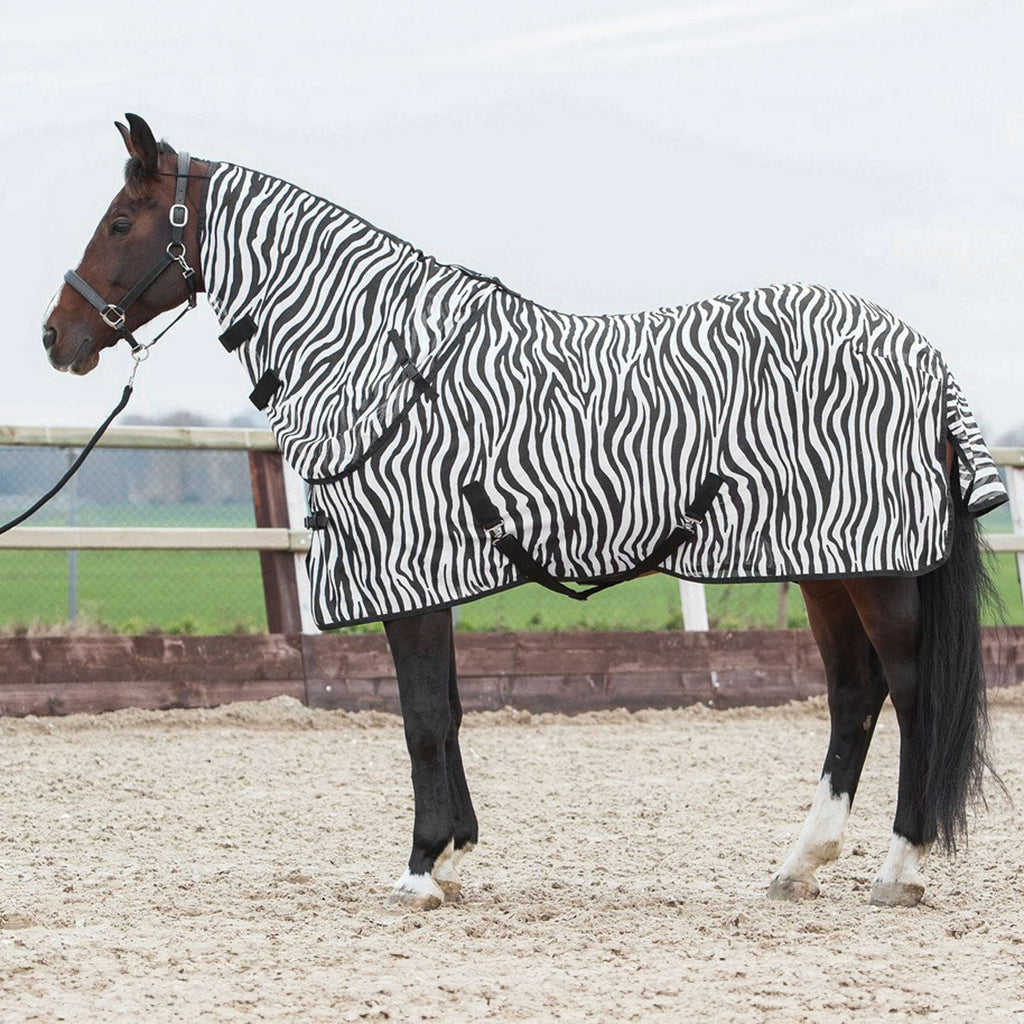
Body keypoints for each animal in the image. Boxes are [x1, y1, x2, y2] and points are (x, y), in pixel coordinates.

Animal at [42, 113, 1004, 911]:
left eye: (121, 222)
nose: (57, 337)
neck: (379, 357)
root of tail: (924, 355)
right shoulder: (426, 579)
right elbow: (450, 711)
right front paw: (454, 853)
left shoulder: (408, 575)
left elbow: (424, 719)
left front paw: (420, 869)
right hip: (826, 566)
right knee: (854, 694)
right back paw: (800, 864)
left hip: (877, 572)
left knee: (911, 692)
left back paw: (900, 869)